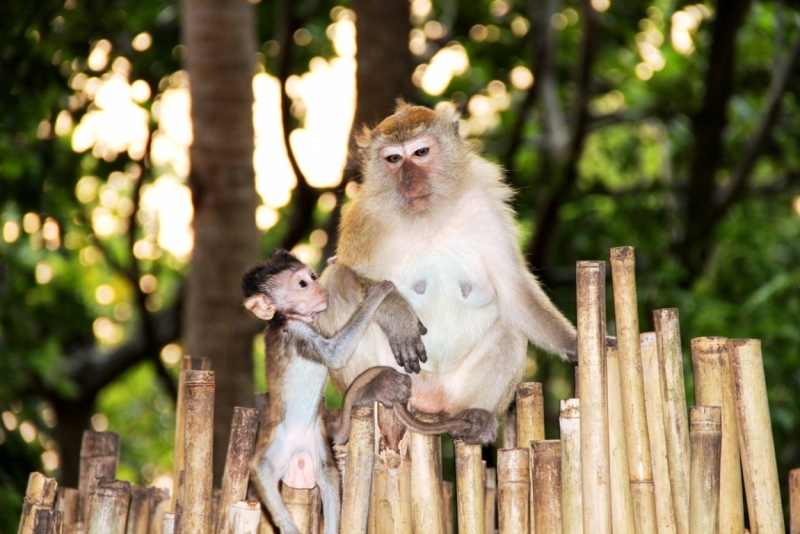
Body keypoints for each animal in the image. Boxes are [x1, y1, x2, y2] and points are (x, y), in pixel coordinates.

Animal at [241, 251, 396, 534]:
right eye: (302, 284)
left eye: (313, 276)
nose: (319, 288)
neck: (289, 318)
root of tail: (297, 457)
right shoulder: (298, 334)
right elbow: (334, 356)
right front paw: (376, 296)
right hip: (278, 447)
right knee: (262, 469)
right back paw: (287, 524)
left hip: (317, 450)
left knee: (329, 478)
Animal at [316, 101, 580, 444]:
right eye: (394, 159)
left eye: (421, 152)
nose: (408, 180)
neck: (429, 217)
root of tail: (428, 401)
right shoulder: (362, 218)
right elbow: (340, 267)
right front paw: (396, 310)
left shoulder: (486, 207)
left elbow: (513, 289)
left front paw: (576, 345)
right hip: (404, 375)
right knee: (337, 283)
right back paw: (374, 386)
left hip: (452, 392)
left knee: (509, 326)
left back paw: (476, 416)